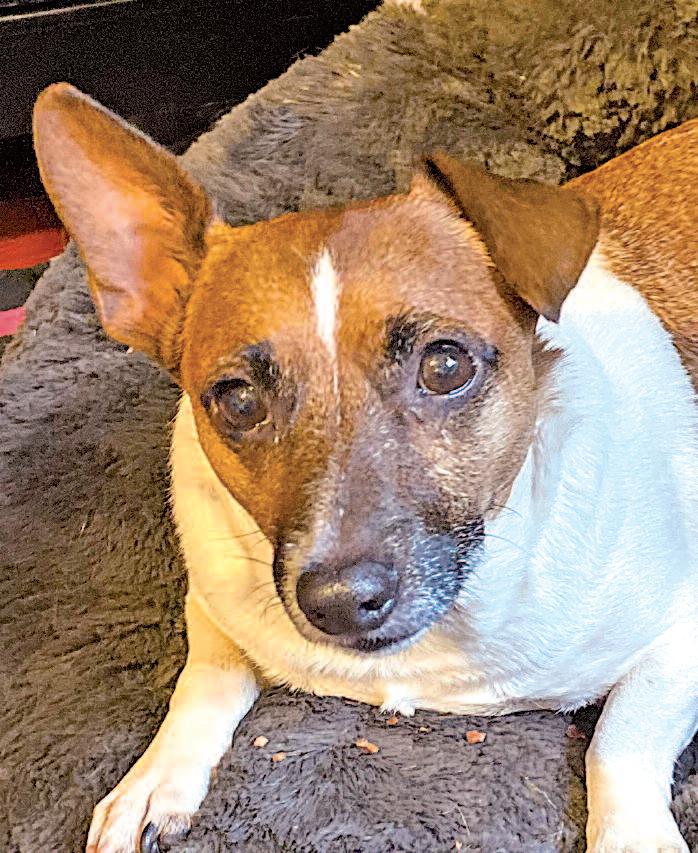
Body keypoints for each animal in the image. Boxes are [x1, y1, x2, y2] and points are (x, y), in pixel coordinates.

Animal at [33, 83, 697, 853]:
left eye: (446, 365)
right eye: (237, 400)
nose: (342, 600)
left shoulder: (679, 635)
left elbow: (617, 742)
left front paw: (631, 834)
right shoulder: (215, 605)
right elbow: (205, 677)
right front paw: (155, 777)